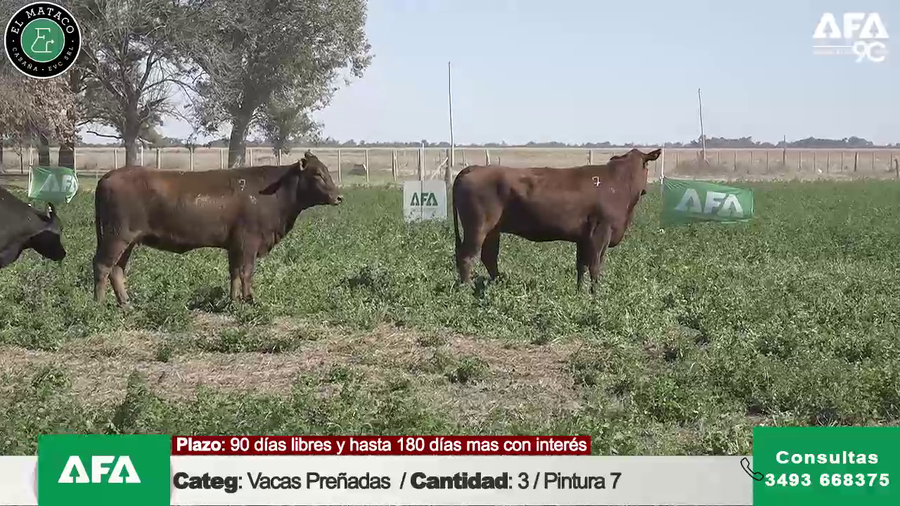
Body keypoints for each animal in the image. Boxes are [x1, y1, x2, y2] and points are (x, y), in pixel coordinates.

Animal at [93, 151, 342, 307]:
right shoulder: (248, 242)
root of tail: (109, 175)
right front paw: (249, 299)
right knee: (103, 266)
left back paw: (126, 304)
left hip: (127, 241)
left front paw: (233, 300)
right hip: (117, 237)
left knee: (117, 270)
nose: (339, 197)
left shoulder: (235, 245)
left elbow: (234, 273)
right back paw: (99, 304)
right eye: (318, 174)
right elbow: (246, 272)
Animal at [451, 148, 662, 293]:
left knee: (489, 257)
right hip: (477, 228)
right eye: (647, 166)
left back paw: (499, 285)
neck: (618, 184)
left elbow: (581, 266)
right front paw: (595, 295)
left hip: (493, 231)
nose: (646, 189)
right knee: (466, 256)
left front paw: (579, 293)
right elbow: (595, 266)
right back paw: (466, 290)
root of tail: (475, 168)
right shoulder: (600, 233)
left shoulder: (584, 238)